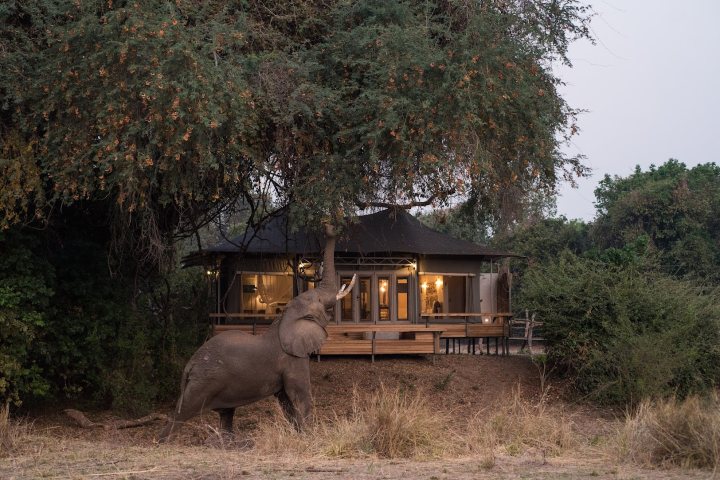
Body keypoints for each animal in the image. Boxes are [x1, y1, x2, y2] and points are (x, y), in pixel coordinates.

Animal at [158, 224, 355, 442]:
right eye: (319, 301)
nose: (330, 227)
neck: (283, 319)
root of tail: (190, 364)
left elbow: (286, 401)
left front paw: (300, 434)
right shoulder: (293, 359)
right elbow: (300, 394)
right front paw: (310, 437)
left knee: (225, 413)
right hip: (203, 382)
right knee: (182, 412)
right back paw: (162, 441)